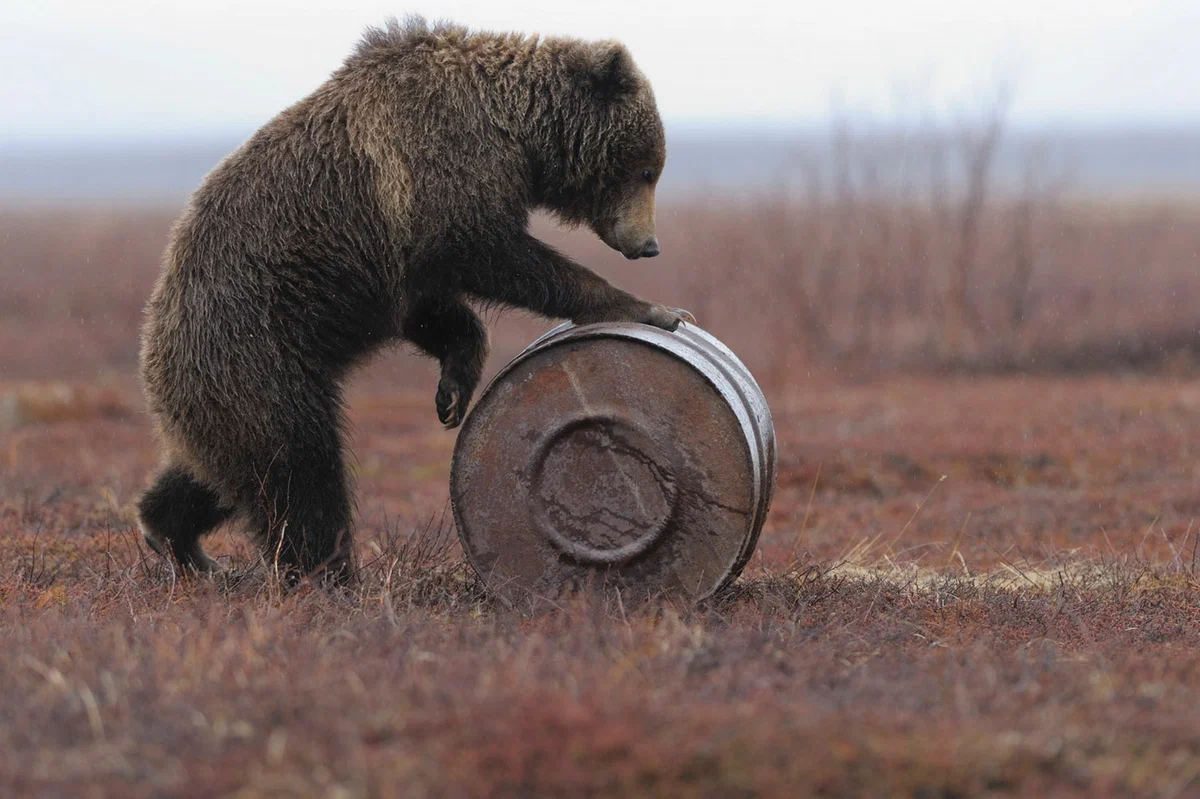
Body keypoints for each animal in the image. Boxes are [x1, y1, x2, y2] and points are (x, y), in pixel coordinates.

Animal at [135, 15, 691, 583]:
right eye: (648, 168)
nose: (649, 244)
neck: (514, 133)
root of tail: (154, 342)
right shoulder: (437, 167)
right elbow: (489, 250)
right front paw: (648, 308)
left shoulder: (399, 264)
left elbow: (432, 311)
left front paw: (453, 393)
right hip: (257, 347)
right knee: (298, 468)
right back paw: (329, 573)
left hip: (233, 385)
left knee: (218, 471)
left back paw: (177, 539)